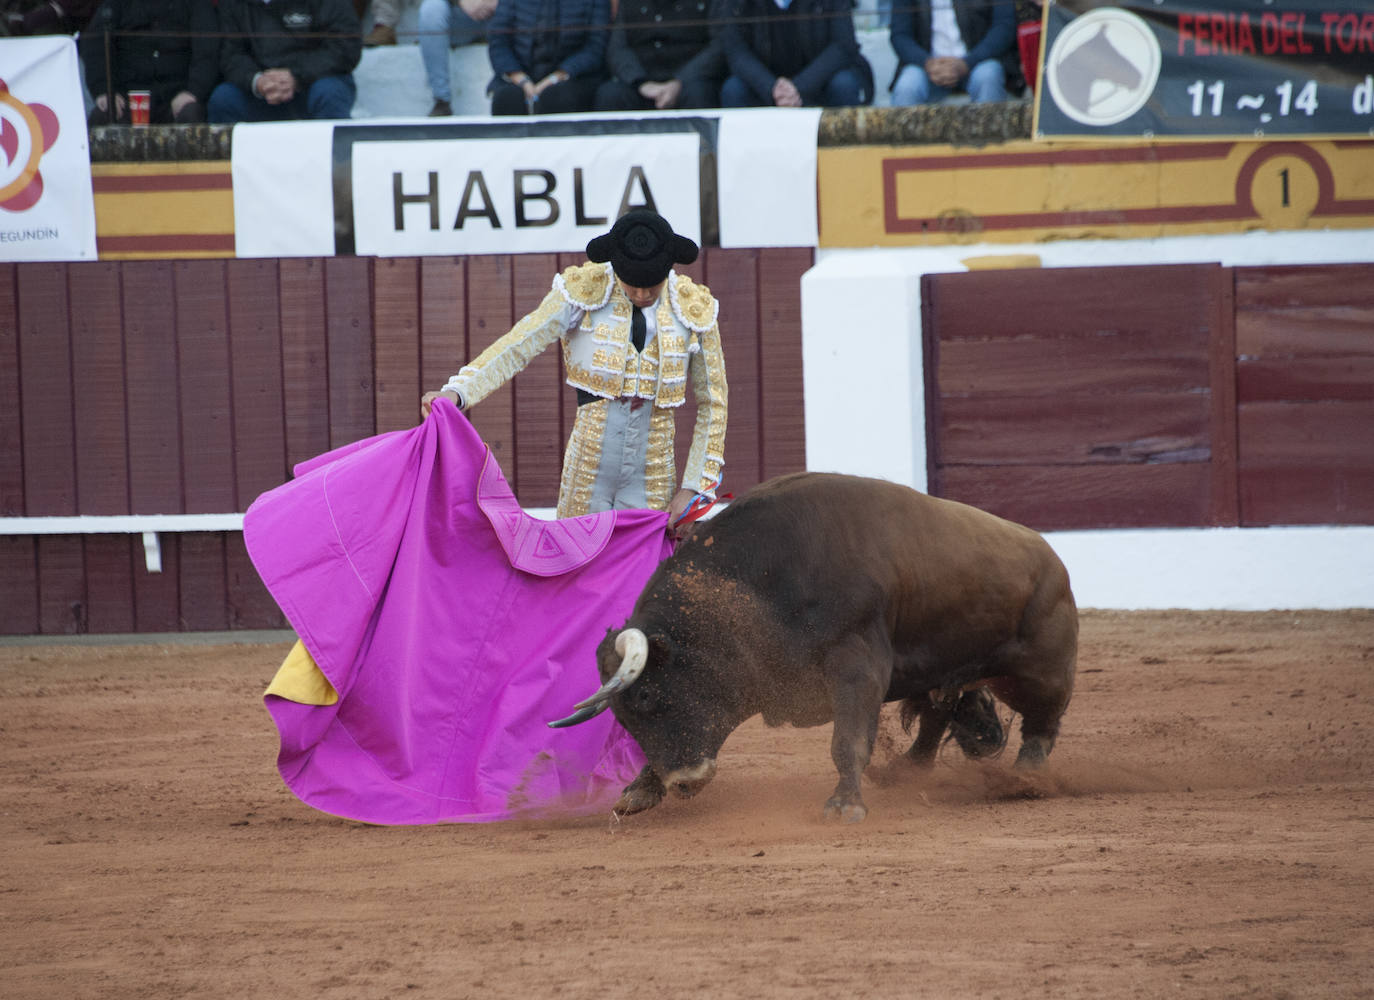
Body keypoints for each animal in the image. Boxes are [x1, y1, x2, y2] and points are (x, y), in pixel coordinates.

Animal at [552, 469, 1077, 818]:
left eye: (646, 695)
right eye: (622, 717)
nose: (684, 783)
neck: (759, 582)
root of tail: (1051, 556)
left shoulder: (857, 669)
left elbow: (848, 742)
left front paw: (844, 805)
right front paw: (639, 791)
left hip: (1043, 668)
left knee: (1042, 724)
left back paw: (1026, 779)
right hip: (946, 667)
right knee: (937, 715)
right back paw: (905, 771)